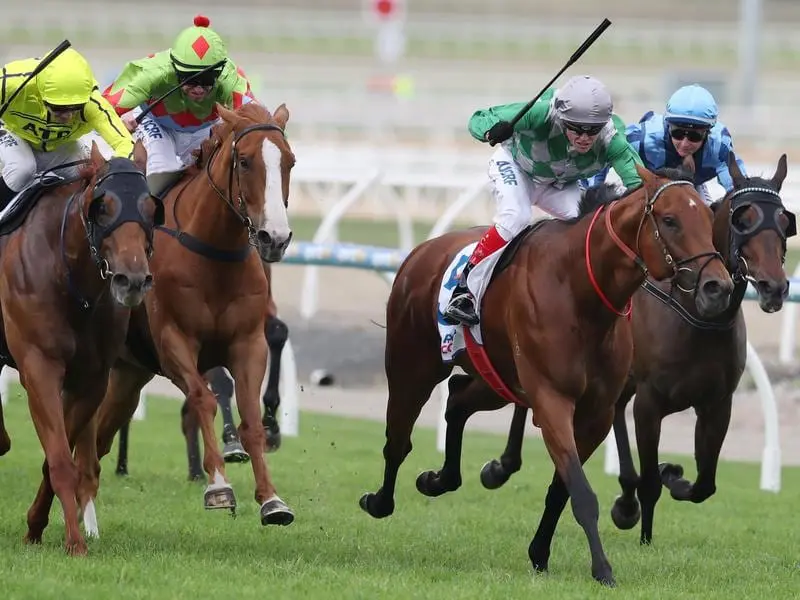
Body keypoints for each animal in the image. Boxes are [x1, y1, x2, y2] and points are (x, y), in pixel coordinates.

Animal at [0, 139, 161, 552]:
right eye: (102, 207)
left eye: (151, 207)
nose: (132, 279)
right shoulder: (39, 366)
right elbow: (59, 458)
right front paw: (75, 542)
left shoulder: (91, 380)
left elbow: (58, 459)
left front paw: (36, 526)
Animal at [75, 103, 296, 528]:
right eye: (245, 161)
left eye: (290, 161)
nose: (274, 238)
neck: (214, 252)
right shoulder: (174, 341)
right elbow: (202, 398)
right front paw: (218, 485)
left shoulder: (248, 342)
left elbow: (249, 414)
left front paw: (272, 498)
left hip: (128, 374)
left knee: (100, 435)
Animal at [472, 154, 792, 544]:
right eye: (742, 219)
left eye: (785, 220)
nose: (774, 287)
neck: (697, 317)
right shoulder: (650, 400)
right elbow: (651, 479)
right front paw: (646, 532)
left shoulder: (717, 404)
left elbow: (705, 484)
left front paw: (673, 478)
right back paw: (502, 466)